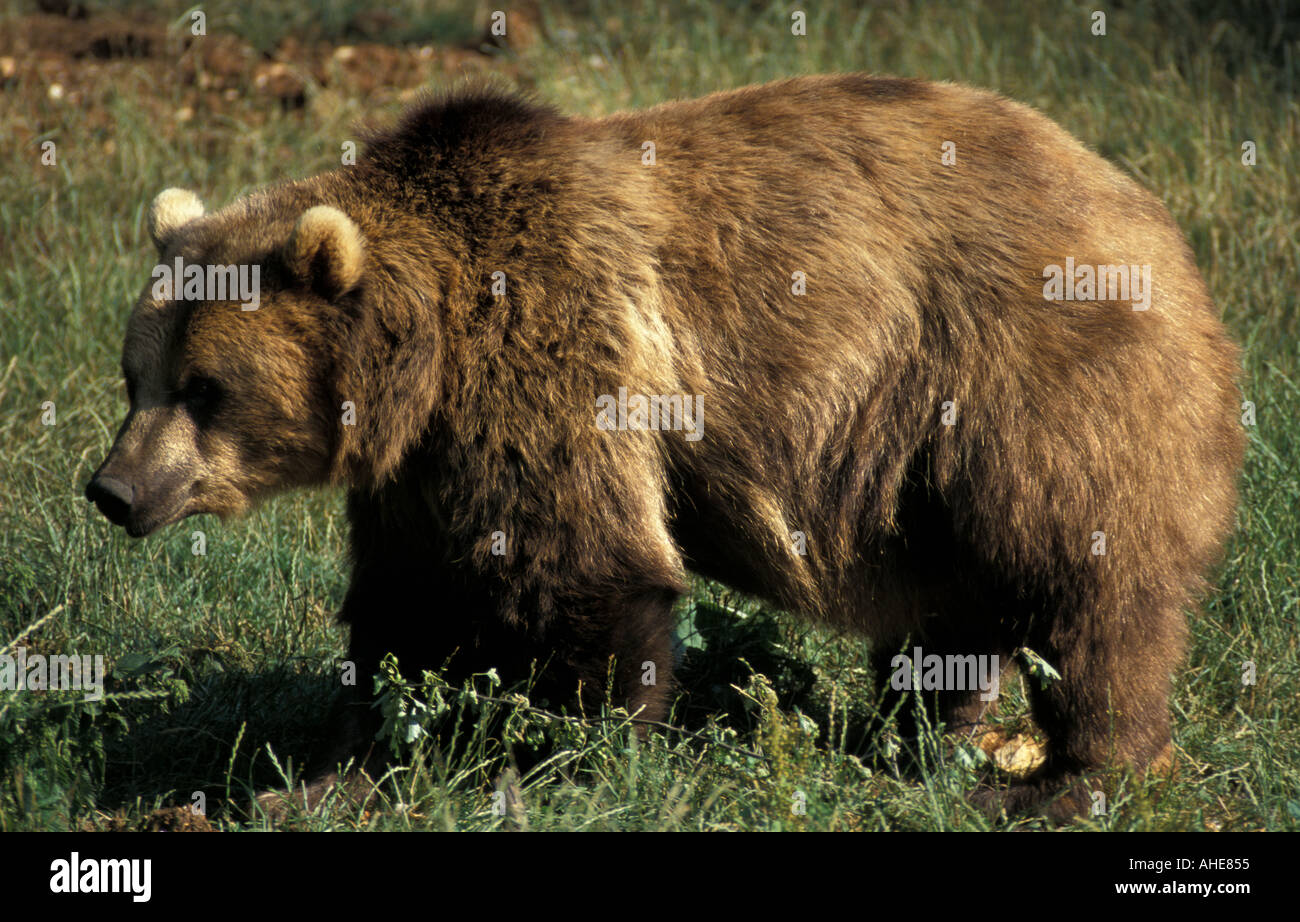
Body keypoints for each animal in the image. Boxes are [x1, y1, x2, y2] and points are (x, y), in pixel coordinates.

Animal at [85, 75, 1244, 822]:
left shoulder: (556, 356)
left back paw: (1068, 776)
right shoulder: (425, 467)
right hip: (922, 460)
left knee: (1087, 576)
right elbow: (406, 609)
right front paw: (333, 767)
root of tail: (1152, 216)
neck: (432, 356)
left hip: (1022, 377)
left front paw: (560, 760)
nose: (113, 489)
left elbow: (587, 572)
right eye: (136, 377)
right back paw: (928, 734)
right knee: (958, 600)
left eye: (206, 389)